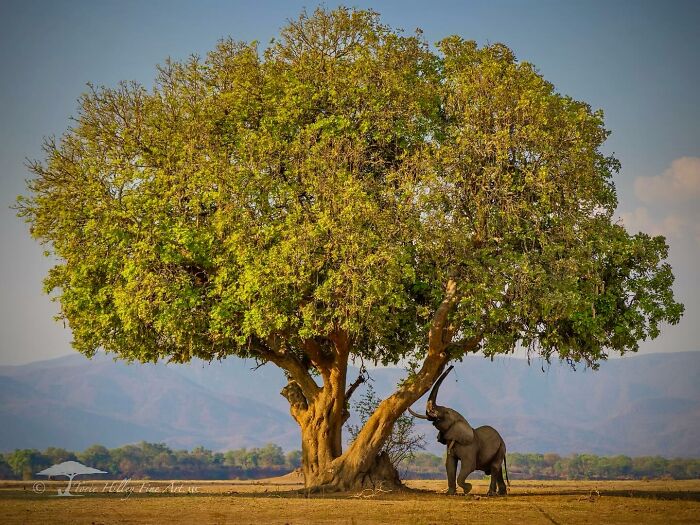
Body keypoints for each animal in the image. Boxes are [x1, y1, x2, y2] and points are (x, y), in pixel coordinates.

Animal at [408, 365, 509, 496]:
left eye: (446, 412)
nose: (451, 365)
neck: (462, 421)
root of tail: (501, 439)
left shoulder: (470, 447)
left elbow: (468, 466)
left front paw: (467, 489)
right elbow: (449, 465)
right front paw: (450, 493)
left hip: (501, 448)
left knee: (494, 467)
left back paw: (490, 493)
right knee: (497, 469)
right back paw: (502, 493)